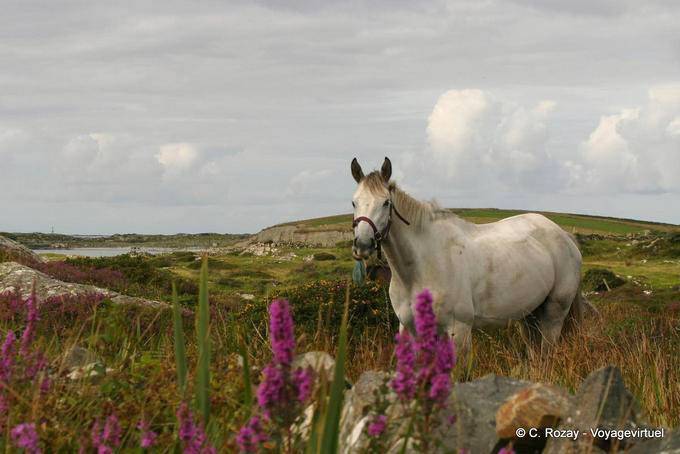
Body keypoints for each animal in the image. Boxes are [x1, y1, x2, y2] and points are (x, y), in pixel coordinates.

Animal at [350, 157, 587, 353]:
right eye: (354, 202)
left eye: (386, 202)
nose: (363, 244)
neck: (420, 269)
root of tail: (564, 236)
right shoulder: (410, 330)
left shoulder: (459, 330)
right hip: (529, 315)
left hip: (554, 315)